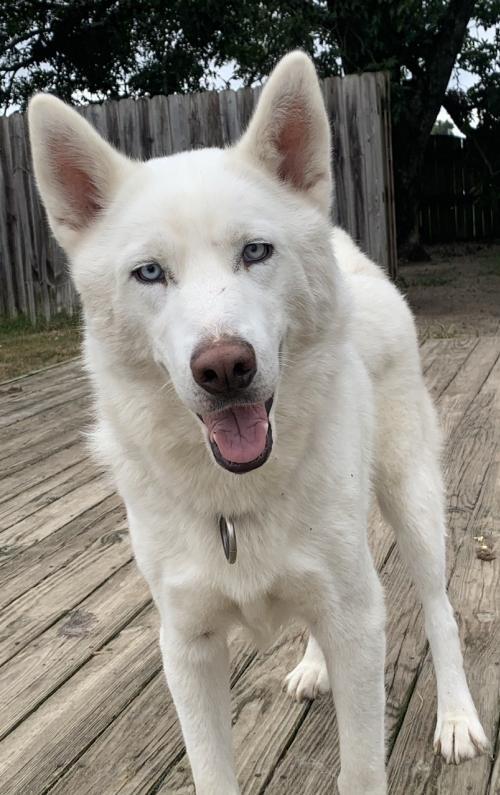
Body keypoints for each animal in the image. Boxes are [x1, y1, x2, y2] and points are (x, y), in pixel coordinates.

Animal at [29, 52, 486, 792]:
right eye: (149, 272)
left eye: (256, 252)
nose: (224, 367)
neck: (235, 496)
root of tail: (345, 247)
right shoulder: (187, 645)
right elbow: (214, 771)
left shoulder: (359, 623)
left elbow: (363, 768)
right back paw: (314, 665)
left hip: (412, 498)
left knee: (440, 610)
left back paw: (455, 717)